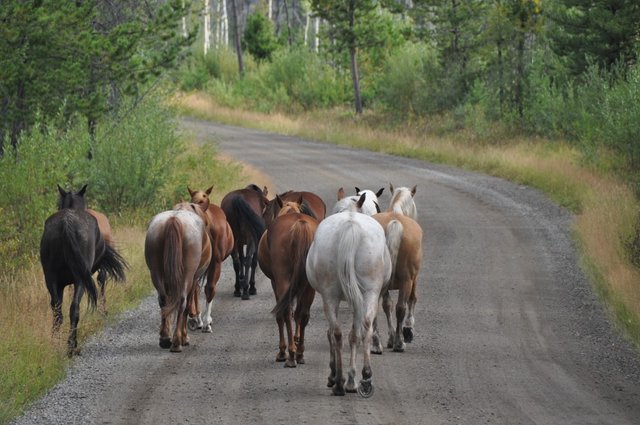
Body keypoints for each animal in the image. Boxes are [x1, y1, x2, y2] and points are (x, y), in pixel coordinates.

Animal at [40, 185, 127, 354]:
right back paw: (71, 346)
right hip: (80, 279)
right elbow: (101, 282)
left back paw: (55, 344)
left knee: (57, 312)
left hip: (51, 278)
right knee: (75, 308)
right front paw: (104, 311)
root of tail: (66, 223)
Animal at [143, 202, 211, 352]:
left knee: (163, 300)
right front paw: (185, 337)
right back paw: (177, 341)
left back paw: (164, 339)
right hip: (187, 276)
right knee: (182, 301)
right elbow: (188, 306)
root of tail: (173, 220)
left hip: (156, 273)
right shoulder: (193, 280)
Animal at [186, 186, 234, 332]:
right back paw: (205, 321)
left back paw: (196, 318)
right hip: (215, 263)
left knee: (195, 287)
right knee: (209, 288)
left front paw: (196, 317)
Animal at [258, 195, 318, 364]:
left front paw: (282, 351)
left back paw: (290, 354)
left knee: (285, 313)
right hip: (309, 285)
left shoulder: (275, 282)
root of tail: (299, 225)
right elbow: (296, 312)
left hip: (282, 280)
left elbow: (282, 315)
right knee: (303, 313)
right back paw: (300, 353)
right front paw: (297, 341)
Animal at [304, 192, 390, 398]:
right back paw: (362, 378)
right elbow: (354, 335)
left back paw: (341, 381)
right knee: (361, 328)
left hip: (332, 295)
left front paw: (346, 378)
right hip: (367, 292)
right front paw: (351, 378)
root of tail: (350, 226)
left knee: (337, 332)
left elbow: (349, 335)